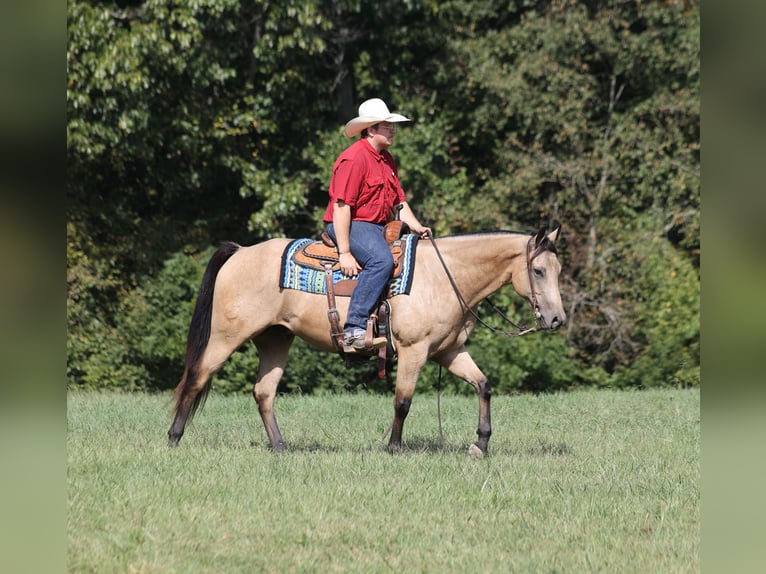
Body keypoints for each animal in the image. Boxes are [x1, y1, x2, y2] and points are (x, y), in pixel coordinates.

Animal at [168, 226, 566, 456]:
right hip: (226, 336)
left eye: (558, 270)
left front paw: (480, 443)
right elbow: (403, 402)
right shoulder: (414, 350)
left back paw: (280, 448)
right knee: (196, 378)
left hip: (276, 339)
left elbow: (483, 385)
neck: (444, 276)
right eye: (538, 270)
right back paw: (173, 438)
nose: (557, 319)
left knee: (263, 392)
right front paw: (394, 448)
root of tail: (239, 252)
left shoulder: (449, 350)